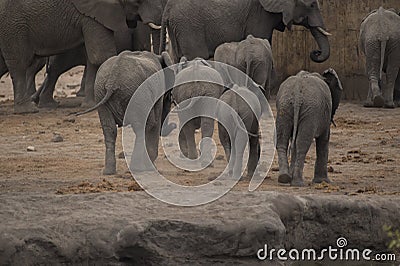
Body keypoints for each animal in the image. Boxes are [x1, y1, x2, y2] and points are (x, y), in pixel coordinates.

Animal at [0, 0, 166, 113]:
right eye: (139, 1)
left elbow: (94, 59)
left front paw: (91, 105)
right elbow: (102, 55)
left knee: (51, 68)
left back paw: (46, 105)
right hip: (14, 25)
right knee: (19, 64)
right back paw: (28, 109)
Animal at [160, 0, 332, 63]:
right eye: (312, 5)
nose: (315, 52)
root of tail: (167, 10)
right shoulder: (259, 14)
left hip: (179, 28)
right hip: (189, 26)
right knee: (196, 56)